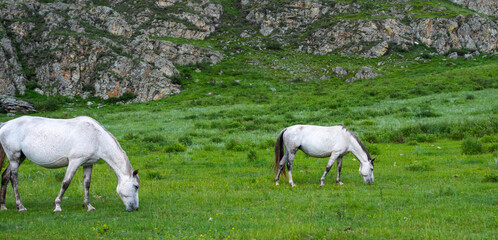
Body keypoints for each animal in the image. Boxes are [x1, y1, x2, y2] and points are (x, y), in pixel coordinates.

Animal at [0, 116, 140, 212]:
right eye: (136, 186)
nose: (135, 208)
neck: (96, 137)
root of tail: (6, 124)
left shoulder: (88, 164)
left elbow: (87, 184)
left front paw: (89, 207)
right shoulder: (74, 161)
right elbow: (66, 183)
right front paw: (57, 206)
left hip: (20, 158)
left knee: (5, 176)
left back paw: (3, 206)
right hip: (14, 158)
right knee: (14, 179)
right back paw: (20, 207)